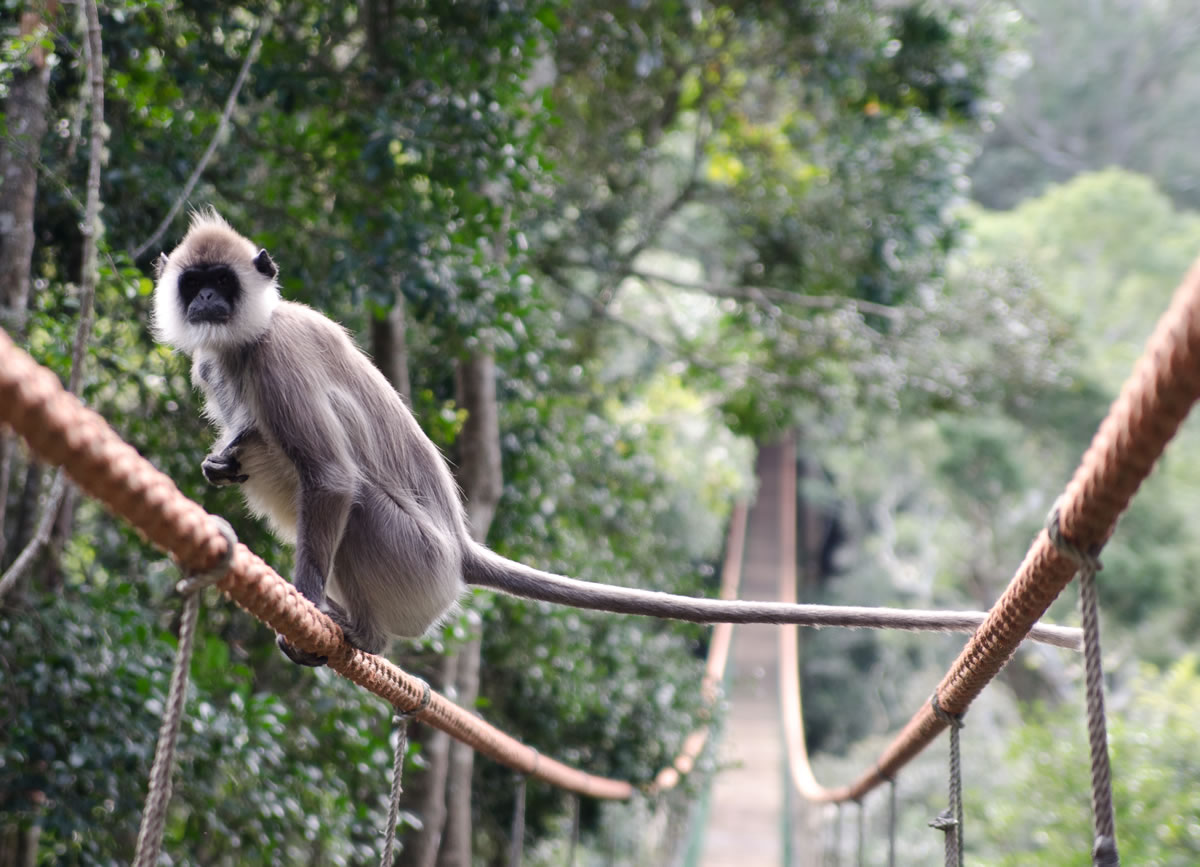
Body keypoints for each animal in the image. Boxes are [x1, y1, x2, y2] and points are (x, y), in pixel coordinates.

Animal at [152, 208, 1089, 662]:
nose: (209, 301)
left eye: (221, 282)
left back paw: (360, 630)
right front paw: (221, 458)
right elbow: (240, 443)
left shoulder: (274, 356)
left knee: (332, 489)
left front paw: (307, 595)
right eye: (195, 284)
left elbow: (335, 477)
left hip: (407, 561)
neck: (243, 340)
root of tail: (459, 545)